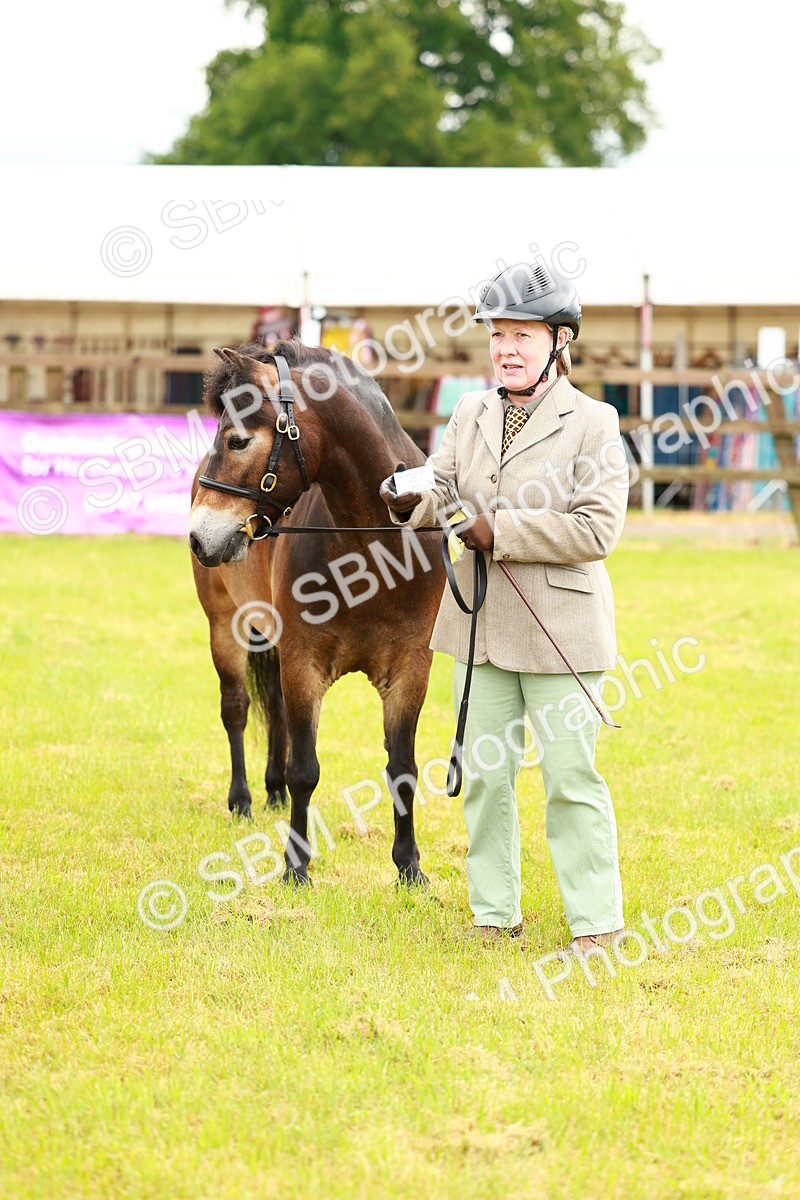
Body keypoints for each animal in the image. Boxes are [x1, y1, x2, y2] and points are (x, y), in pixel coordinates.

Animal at [188, 339, 445, 887]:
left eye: (237, 441)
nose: (198, 537)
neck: (373, 550)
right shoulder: (303, 662)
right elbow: (305, 769)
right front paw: (296, 866)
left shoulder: (411, 668)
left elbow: (403, 769)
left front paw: (409, 866)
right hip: (225, 627)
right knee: (237, 709)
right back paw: (243, 799)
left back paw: (270, 792)